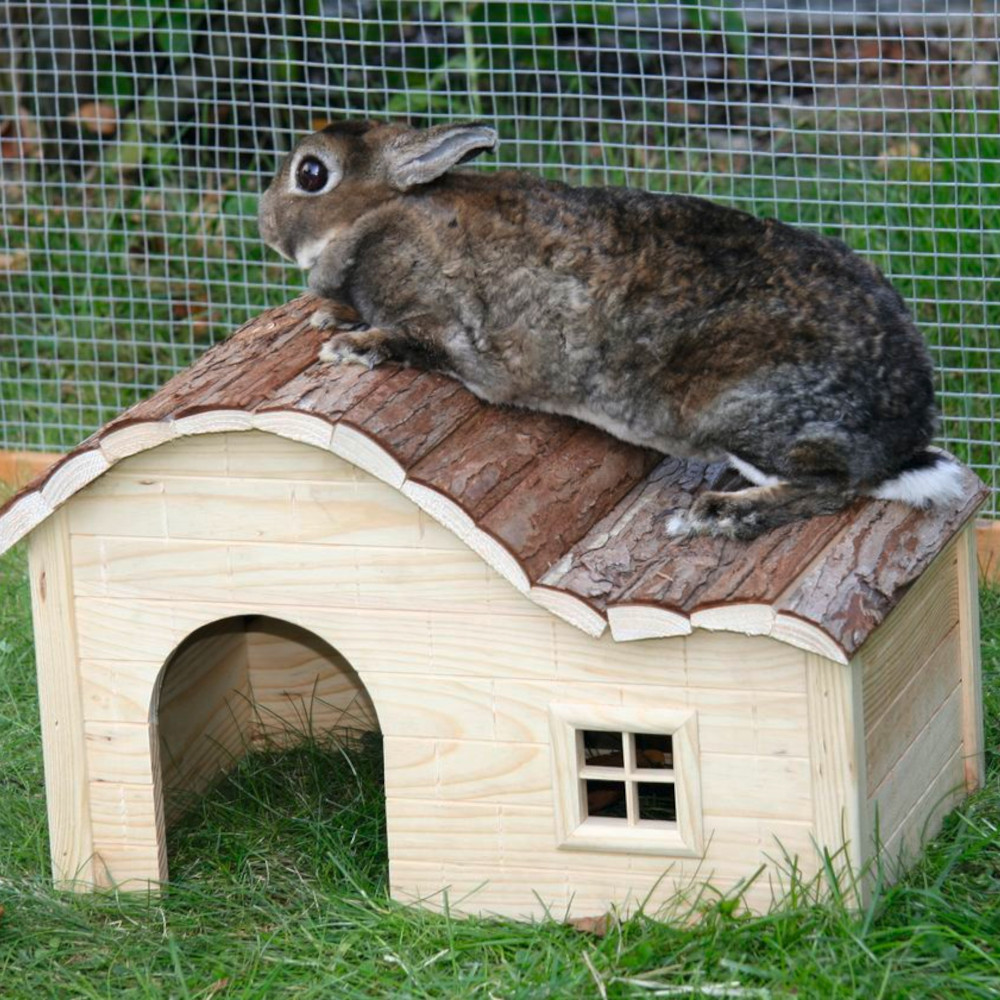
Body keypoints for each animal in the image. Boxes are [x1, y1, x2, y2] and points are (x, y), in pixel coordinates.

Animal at [260, 121, 968, 544]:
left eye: (312, 174)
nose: (265, 224)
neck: (381, 215)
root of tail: (906, 428)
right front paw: (331, 316)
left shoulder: (442, 322)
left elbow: (408, 340)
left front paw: (349, 346)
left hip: (740, 409)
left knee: (830, 487)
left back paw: (717, 512)